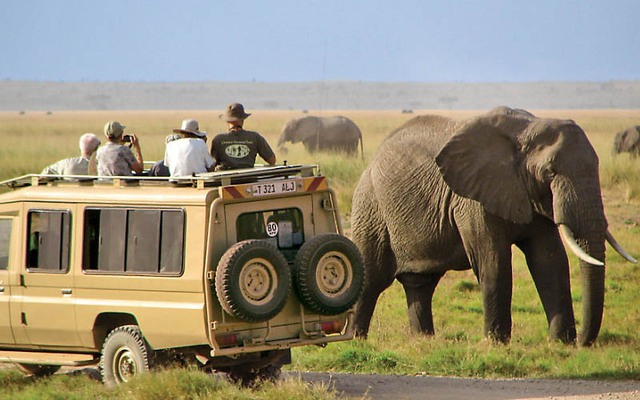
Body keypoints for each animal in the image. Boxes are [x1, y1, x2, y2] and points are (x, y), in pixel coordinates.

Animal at [350, 106, 636, 346]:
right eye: (550, 172)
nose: (583, 343)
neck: (528, 128)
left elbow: (550, 260)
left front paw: (560, 343)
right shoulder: (472, 199)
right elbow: (494, 261)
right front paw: (496, 343)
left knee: (420, 284)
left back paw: (424, 341)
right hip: (370, 208)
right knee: (371, 278)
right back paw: (355, 339)